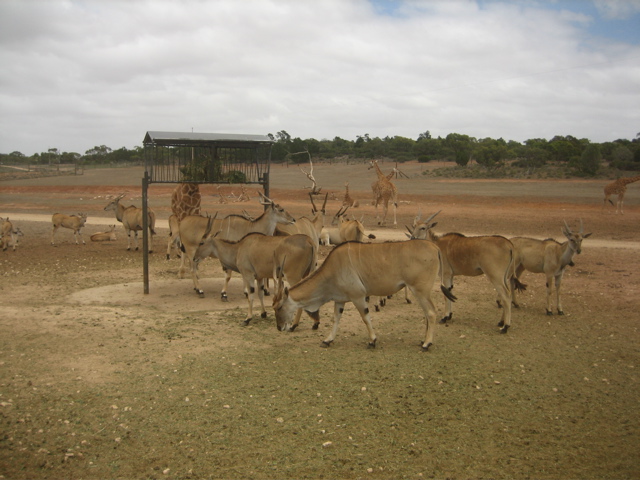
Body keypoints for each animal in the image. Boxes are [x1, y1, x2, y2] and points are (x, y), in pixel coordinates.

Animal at [270, 239, 456, 348]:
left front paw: (372, 341)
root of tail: (435, 247)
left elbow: (365, 318)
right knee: (427, 314)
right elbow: (336, 319)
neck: (333, 267)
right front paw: (328, 340)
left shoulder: (358, 297)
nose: (279, 327)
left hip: (420, 290)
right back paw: (423, 340)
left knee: (431, 312)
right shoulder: (340, 301)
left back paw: (427, 344)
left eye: (279, 307)